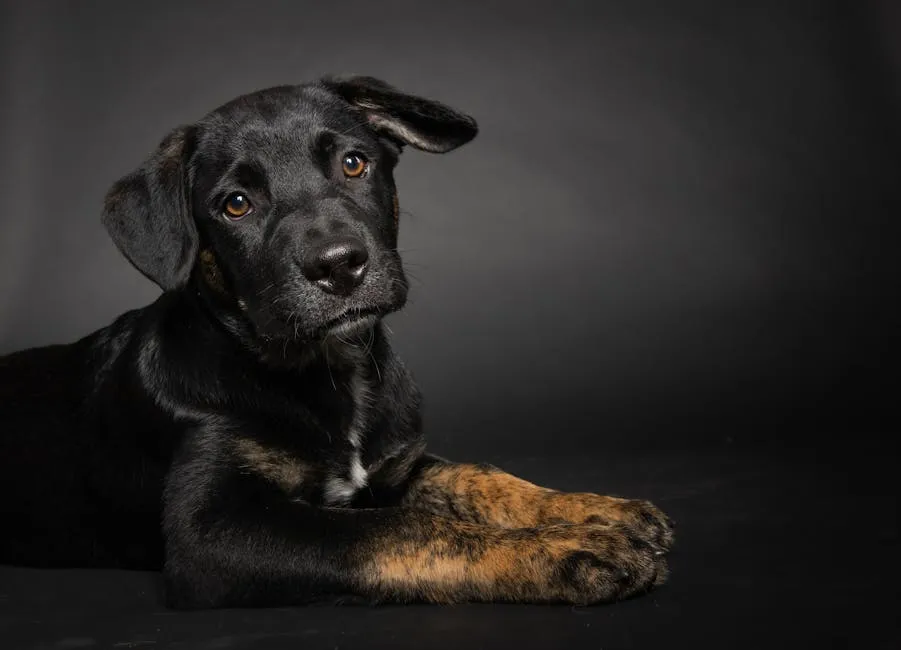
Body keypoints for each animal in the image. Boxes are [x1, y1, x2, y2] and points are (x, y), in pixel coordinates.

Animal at [0, 76, 672, 608]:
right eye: (236, 204)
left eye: (354, 163)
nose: (340, 266)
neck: (328, 372)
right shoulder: (209, 534)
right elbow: (401, 529)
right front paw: (572, 551)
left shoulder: (396, 466)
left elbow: (481, 477)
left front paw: (598, 511)